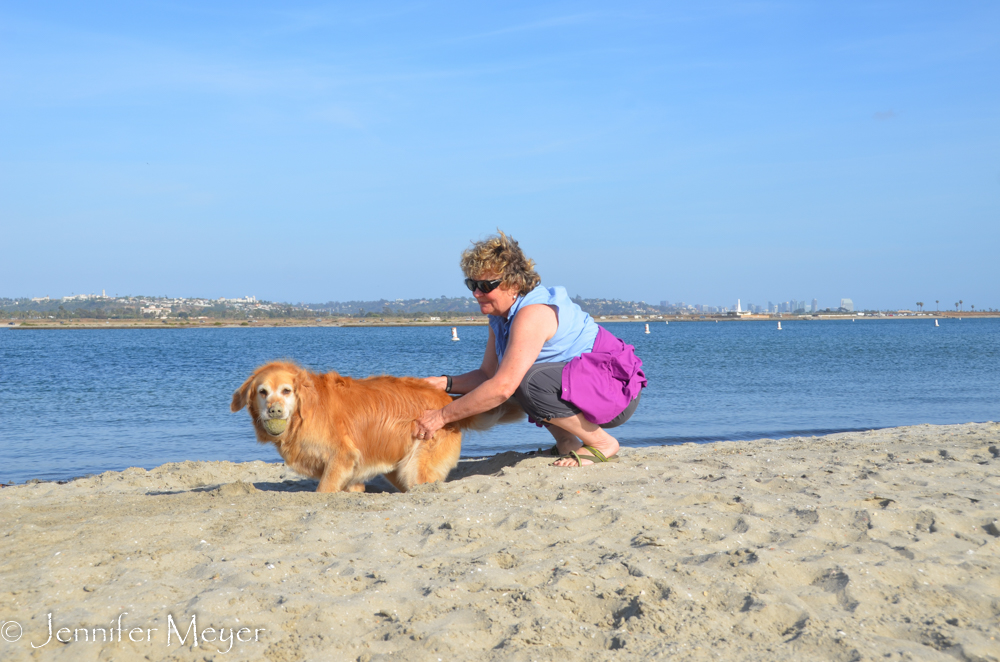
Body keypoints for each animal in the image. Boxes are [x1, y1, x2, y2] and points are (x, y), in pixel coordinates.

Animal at [232, 364, 524, 492]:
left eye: (286, 391)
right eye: (262, 392)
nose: (274, 410)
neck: (304, 414)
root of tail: (446, 400)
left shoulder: (341, 457)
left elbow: (323, 490)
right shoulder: (351, 472)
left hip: (416, 467)